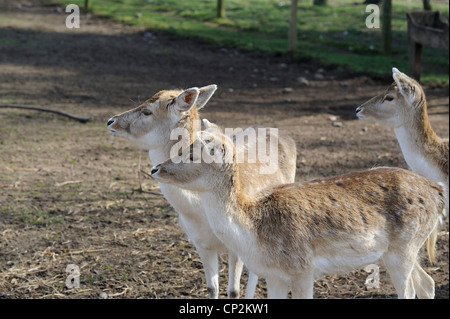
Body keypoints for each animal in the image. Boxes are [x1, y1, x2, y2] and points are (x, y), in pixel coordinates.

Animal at [105, 85, 296, 300]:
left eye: (147, 111)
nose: (110, 121)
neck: (199, 210)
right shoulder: (199, 242)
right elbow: (212, 288)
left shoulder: (240, 244)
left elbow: (233, 290)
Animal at [151, 131, 446, 300]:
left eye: (191, 154)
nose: (155, 169)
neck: (254, 233)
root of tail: (438, 191)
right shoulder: (274, 275)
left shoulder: (303, 269)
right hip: (398, 250)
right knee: (428, 282)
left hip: (405, 245)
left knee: (410, 291)